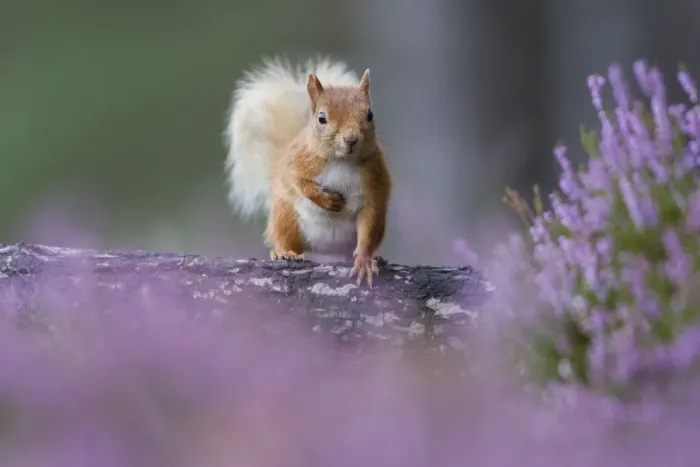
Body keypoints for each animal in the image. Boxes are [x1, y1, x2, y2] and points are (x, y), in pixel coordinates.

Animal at [223, 57, 392, 286]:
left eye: (370, 115)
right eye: (321, 118)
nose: (351, 139)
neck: (341, 161)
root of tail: (326, 250)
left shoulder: (373, 184)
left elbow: (367, 227)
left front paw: (365, 261)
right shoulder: (296, 161)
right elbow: (296, 181)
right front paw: (325, 199)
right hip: (286, 217)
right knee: (286, 239)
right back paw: (284, 252)